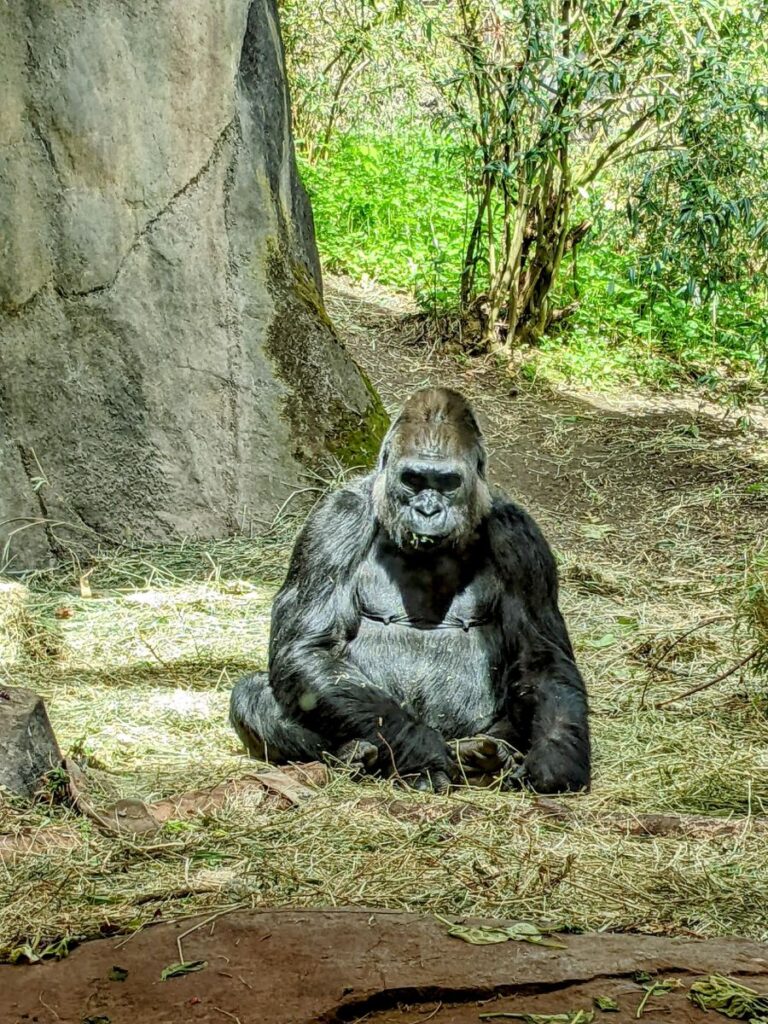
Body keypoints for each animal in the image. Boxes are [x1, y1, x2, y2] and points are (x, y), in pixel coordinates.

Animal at [231, 387, 593, 794]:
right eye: (414, 480)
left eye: (447, 482)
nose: (428, 511)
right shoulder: (335, 519)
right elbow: (308, 646)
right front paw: (419, 746)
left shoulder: (521, 538)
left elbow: (542, 659)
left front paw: (553, 759)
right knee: (253, 695)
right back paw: (357, 753)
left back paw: (485, 756)